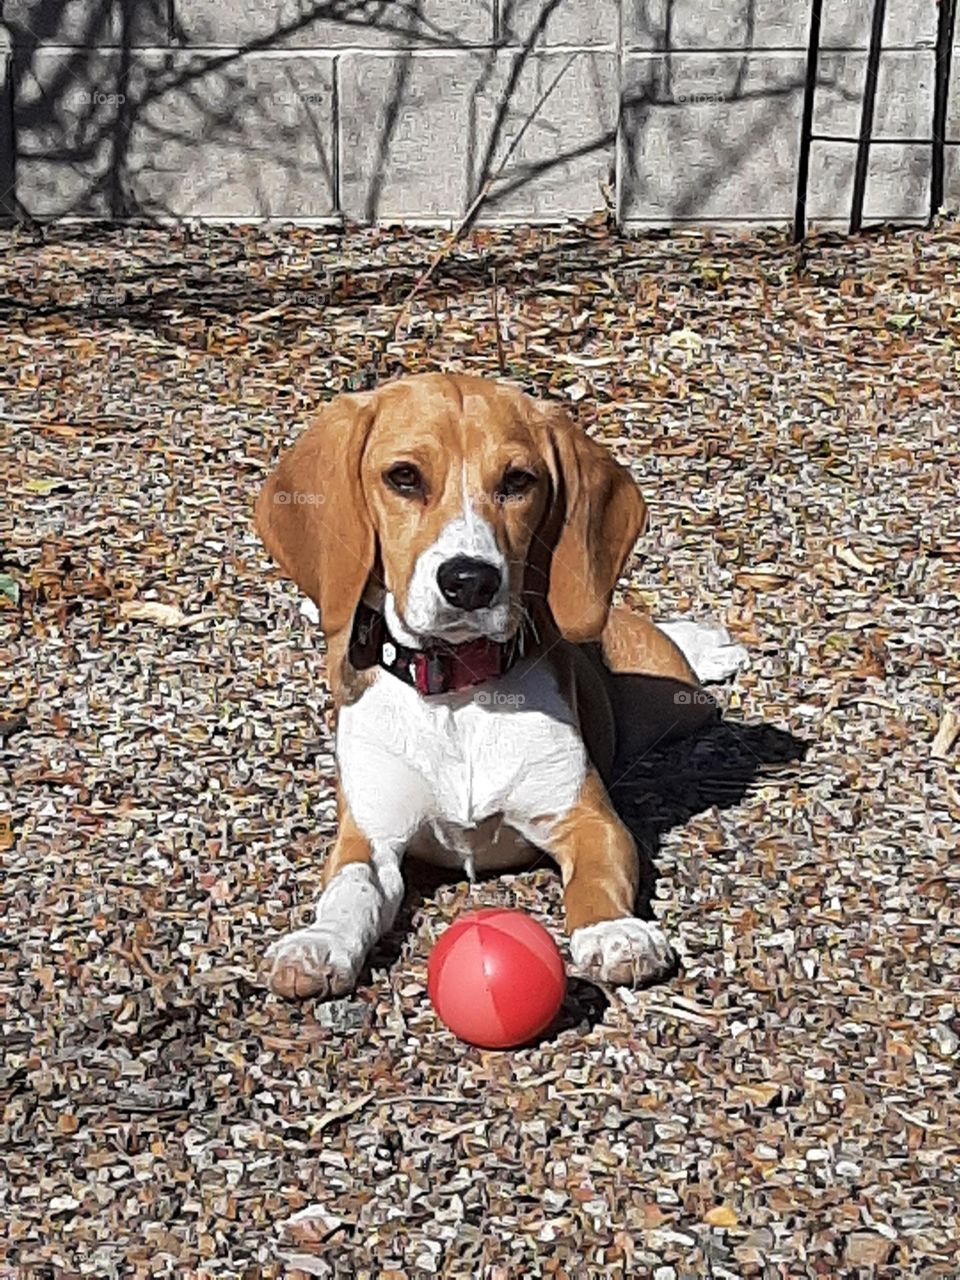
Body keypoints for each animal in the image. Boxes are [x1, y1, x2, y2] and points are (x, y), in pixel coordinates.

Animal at [253, 371, 742, 998]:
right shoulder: (369, 834)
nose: (470, 580)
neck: (457, 691)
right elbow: (350, 889)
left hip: (676, 701)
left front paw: (614, 933)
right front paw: (319, 943)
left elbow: (596, 879)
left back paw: (703, 643)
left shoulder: (587, 819)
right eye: (403, 477)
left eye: (517, 481)